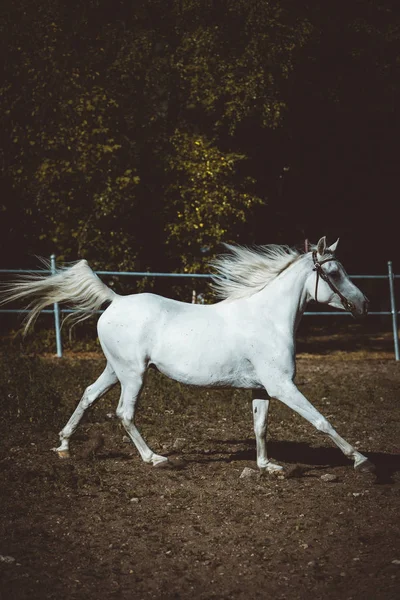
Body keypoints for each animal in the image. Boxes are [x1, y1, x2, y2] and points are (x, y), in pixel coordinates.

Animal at [1, 236, 374, 474]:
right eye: (334, 273)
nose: (365, 305)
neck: (268, 318)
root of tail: (116, 300)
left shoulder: (262, 389)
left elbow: (260, 427)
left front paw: (268, 466)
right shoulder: (283, 386)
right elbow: (321, 420)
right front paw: (359, 459)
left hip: (115, 369)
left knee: (89, 395)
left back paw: (64, 446)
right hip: (133, 375)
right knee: (124, 413)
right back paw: (155, 459)